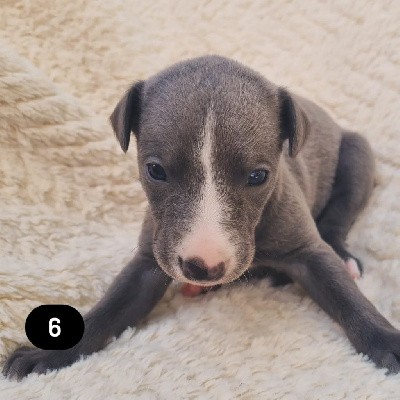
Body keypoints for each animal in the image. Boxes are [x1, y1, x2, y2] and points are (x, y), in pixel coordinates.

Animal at [4, 55, 400, 380]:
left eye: (259, 176)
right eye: (155, 170)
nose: (203, 266)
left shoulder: (306, 248)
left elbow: (345, 296)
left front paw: (385, 339)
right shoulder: (152, 256)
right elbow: (112, 307)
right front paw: (48, 355)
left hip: (356, 157)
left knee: (337, 221)